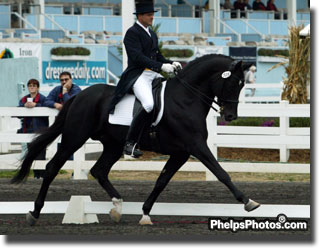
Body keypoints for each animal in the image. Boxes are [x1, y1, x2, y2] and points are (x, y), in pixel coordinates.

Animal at [11, 53, 260, 226]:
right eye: (232, 83)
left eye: (242, 85)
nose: (230, 116)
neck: (186, 99)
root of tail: (79, 96)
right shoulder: (196, 146)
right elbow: (221, 172)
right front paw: (248, 201)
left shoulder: (181, 152)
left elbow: (162, 181)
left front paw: (145, 213)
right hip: (75, 138)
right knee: (52, 168)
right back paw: (34, 213)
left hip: (113, 145)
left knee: (99, 170)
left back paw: (118, 207)